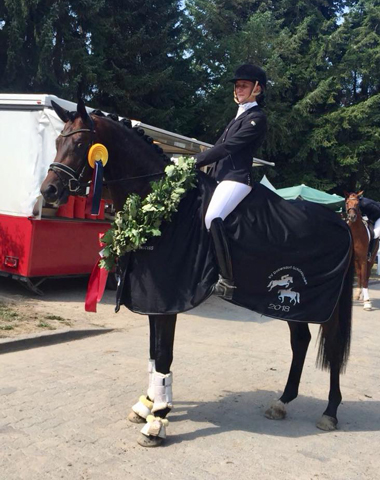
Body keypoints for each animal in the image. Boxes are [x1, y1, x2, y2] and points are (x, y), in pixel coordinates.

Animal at [40, 100, 354, 446]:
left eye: (81, 143)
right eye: (57, 141)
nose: (49, 190)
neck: (163, 208)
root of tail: (342, 224)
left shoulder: (167, 298)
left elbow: (164, 355)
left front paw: (157, 422)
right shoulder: (153, 299)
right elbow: (153, 354)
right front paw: (147, 405)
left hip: (323, 304)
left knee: (333, 348)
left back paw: (330, 412)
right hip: (292, 305)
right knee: (301, 341)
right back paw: (281, 403)